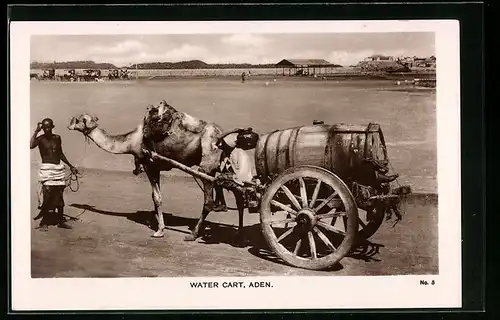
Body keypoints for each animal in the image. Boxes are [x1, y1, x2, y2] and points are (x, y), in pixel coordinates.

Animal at [68, 100, 248, 242]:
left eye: (77, 119)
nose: (68, 124)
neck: (132, 141)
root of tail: (222, 137)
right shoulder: (157, 167)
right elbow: (155, 197)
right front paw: (157, 223)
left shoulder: (150, 165)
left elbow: (157, 198)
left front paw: (159, 231)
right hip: (226, 167)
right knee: (239, 196)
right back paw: (239, 235)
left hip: (207, 166)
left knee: (208, 202)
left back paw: (193, 234)